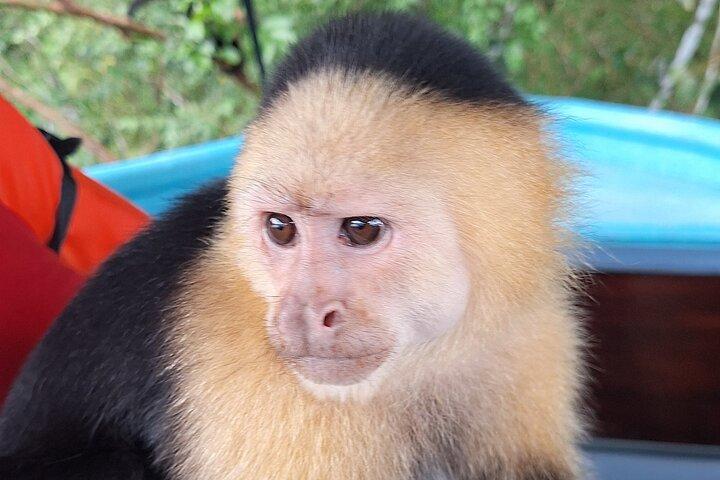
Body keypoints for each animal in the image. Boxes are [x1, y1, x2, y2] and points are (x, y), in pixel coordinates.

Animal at [0, 12, 586, 480]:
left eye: (361, 230)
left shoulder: (528, 323)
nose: (303, 312)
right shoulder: (250, 382)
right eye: (280, 228)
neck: (417, 364)